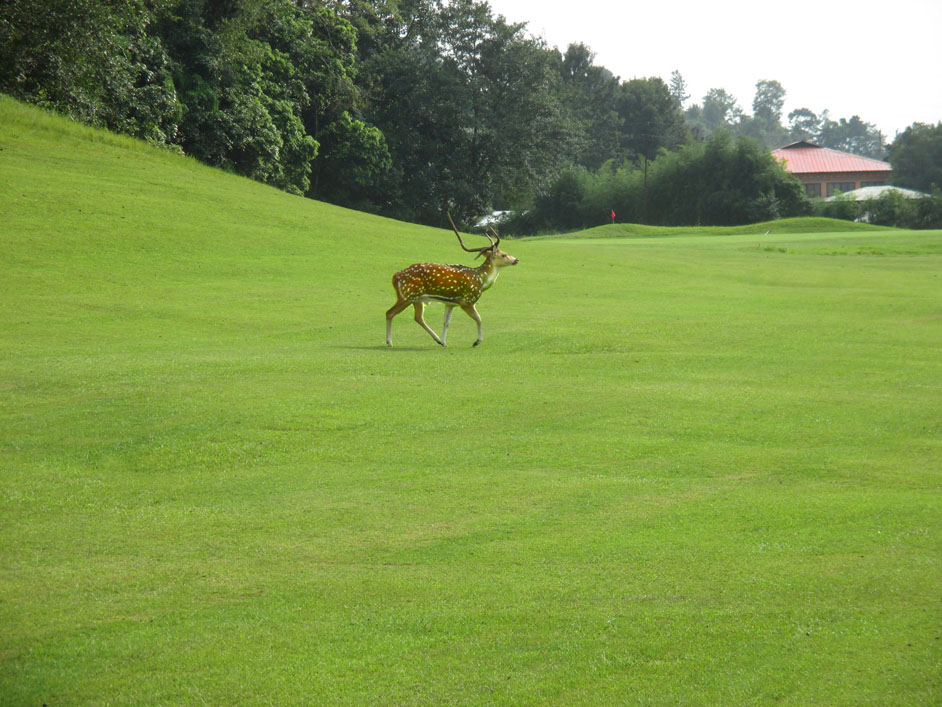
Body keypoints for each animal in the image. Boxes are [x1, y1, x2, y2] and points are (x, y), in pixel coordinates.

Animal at [386, 216, 524, 348]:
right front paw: (477, 341)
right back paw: (390, 342)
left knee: (418, 318)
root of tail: (395, 277)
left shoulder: (451, 303)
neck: (481, 280)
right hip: (407, 295)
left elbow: (446, 322)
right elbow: (479, 318)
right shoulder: (467, 301)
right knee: (390, 312)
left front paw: (444, 342)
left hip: (417, 299)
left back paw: (438, 340)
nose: (516, 259)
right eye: (504, 255)